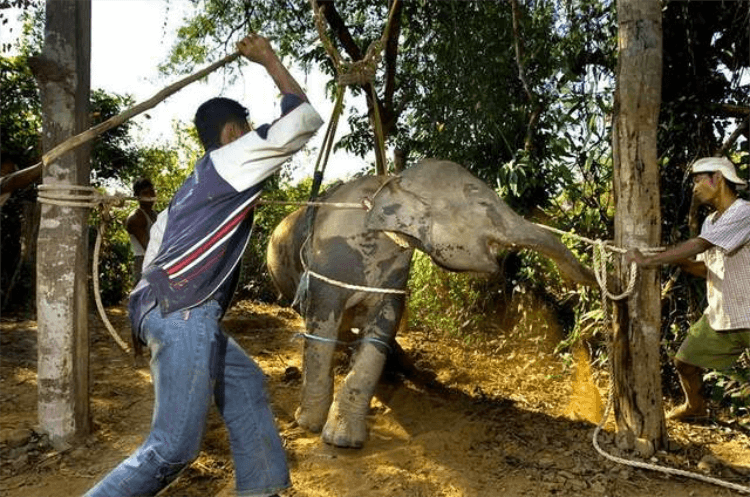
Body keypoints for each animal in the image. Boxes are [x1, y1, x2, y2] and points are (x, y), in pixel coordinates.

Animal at [268, 158, 596, 446]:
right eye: (482, 203)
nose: (591, 279)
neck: (390, 182)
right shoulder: (327, 263)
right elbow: (321, 327)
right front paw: (309, 425)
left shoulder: (395, 273)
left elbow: (382, 329)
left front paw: (344, 440)